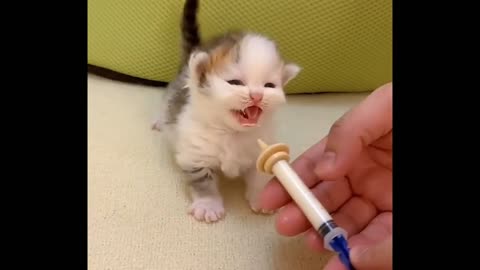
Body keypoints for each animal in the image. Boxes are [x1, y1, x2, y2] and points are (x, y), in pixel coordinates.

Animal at [154, 0, 302, 224]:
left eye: (269, 86)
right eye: (235, 82)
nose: (257, 95)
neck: (233, 133)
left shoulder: (261, 148)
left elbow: (260, 176)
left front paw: (261, 196)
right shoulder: (195, 153)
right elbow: (202, 181)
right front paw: (208, 205)